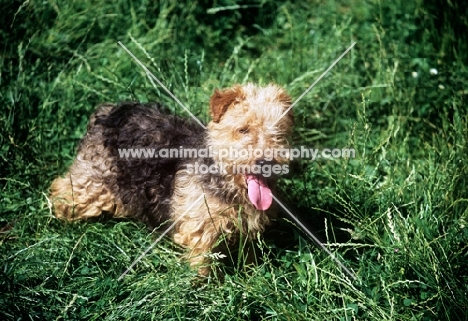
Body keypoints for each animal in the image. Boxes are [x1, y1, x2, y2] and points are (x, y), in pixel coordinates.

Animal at [50, 83, 292, 276]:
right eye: (243, 129)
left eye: (278, 133)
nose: (265, 162)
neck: (228, 184)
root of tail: (111, 111)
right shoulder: (201, 230)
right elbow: (203, 265)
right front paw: (205, 291)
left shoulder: (248, 230)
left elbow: (250, 258)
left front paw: (253, 276)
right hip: (93, 185)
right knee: (61, 190)